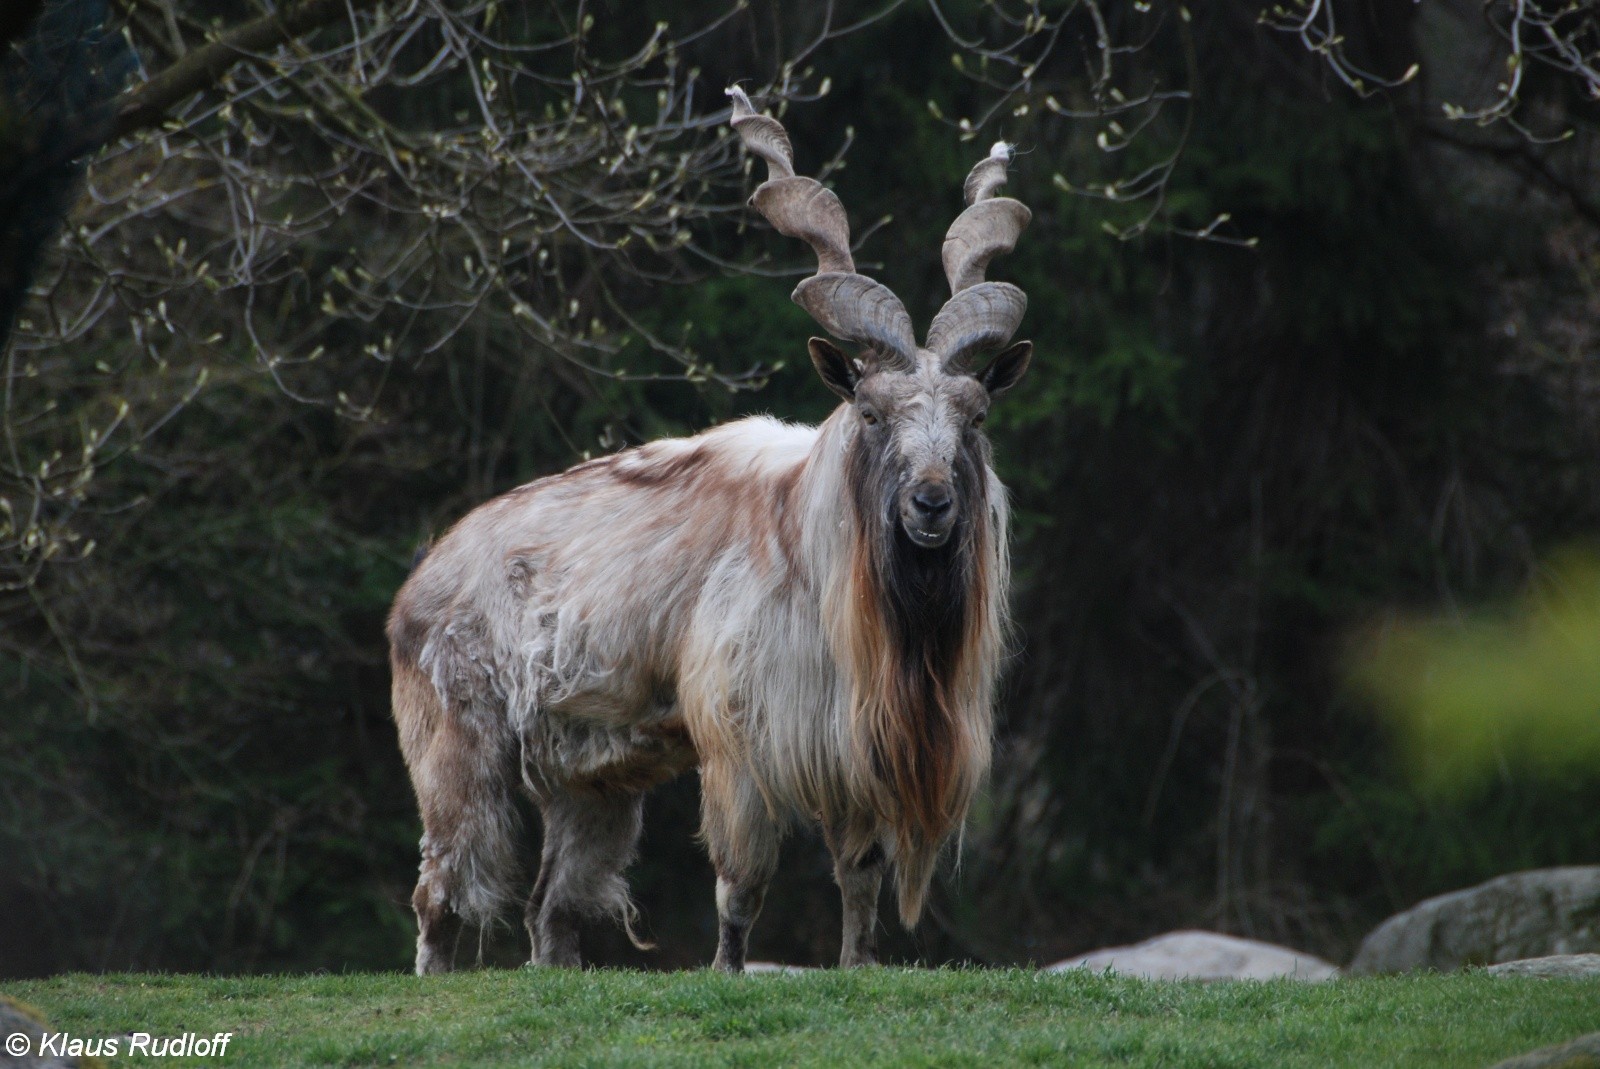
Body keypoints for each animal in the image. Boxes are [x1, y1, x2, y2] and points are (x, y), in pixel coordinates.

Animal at [390, 89, 1036, 979]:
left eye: (974, 416)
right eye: (872, 412)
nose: (932, 504)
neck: (814, 552)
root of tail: (422, 577)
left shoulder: (851, 758)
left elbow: (860, 877)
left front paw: (858, 965)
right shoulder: (739, 745)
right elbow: (741, 884)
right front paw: (729, 973)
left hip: (589, 781)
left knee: (549, 907)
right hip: (459, 750)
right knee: (441, 893)